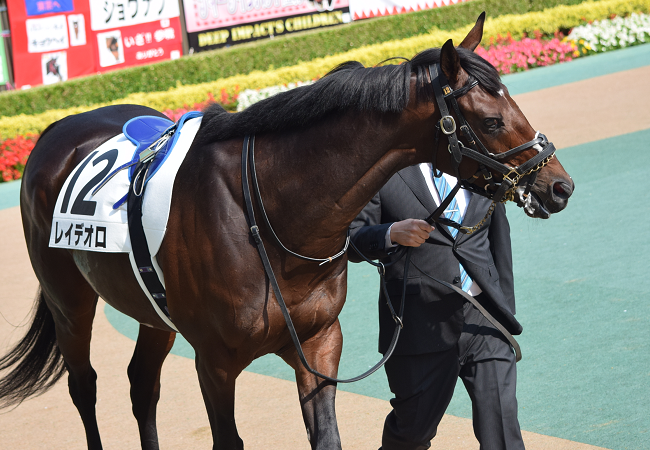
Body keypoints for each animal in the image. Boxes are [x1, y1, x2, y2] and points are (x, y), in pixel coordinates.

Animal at [0, 14, 573, 450]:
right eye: (493, 120)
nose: (558, 185)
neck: (269, 216)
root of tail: (56, 129)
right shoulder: (215, 362)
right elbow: (227, 440)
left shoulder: (318, 344)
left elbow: (327, 437)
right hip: (69, 301)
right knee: (84, 386)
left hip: (152, 311)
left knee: (142, 385)